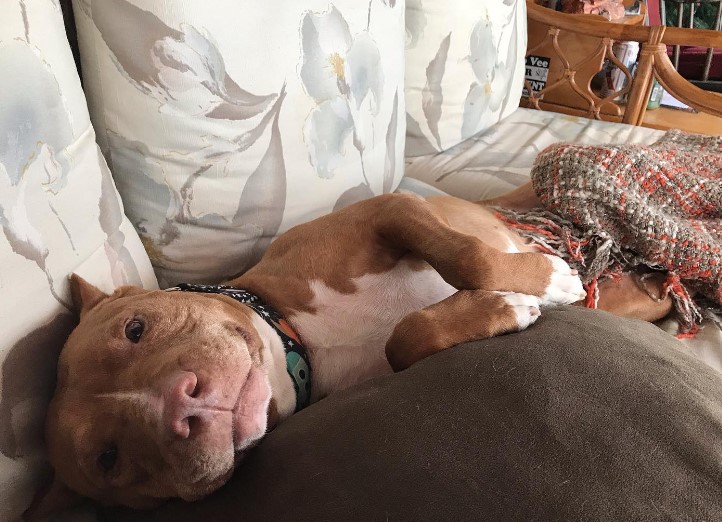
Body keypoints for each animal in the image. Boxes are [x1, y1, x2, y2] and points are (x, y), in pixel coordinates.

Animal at [25, 189, 672, 516]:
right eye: (109, 459)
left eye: (135, 329)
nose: (184, 406)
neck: (302, 340)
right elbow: (404, 338)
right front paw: (504, 307)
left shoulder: (390, 209)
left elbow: (469, 259)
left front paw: (544, 279)